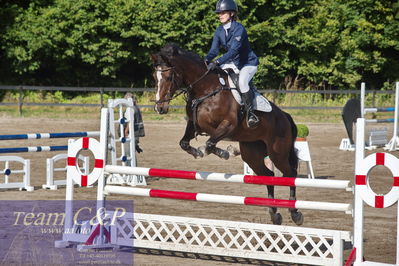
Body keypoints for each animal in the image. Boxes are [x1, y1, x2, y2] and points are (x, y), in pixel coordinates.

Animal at [152, 42, 302, 225]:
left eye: (168, 77)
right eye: (155, 77)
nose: (159, 108)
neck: (205, 89)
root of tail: (285, 116)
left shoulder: (228, 125)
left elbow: (209, 143)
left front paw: (222, 152)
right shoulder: (194, 125)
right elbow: (186, 143)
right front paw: (208, 152)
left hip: (277, 152)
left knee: (290, 174)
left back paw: (295, 213)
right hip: (252, 153)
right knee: (269, 176)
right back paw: (274, 214)